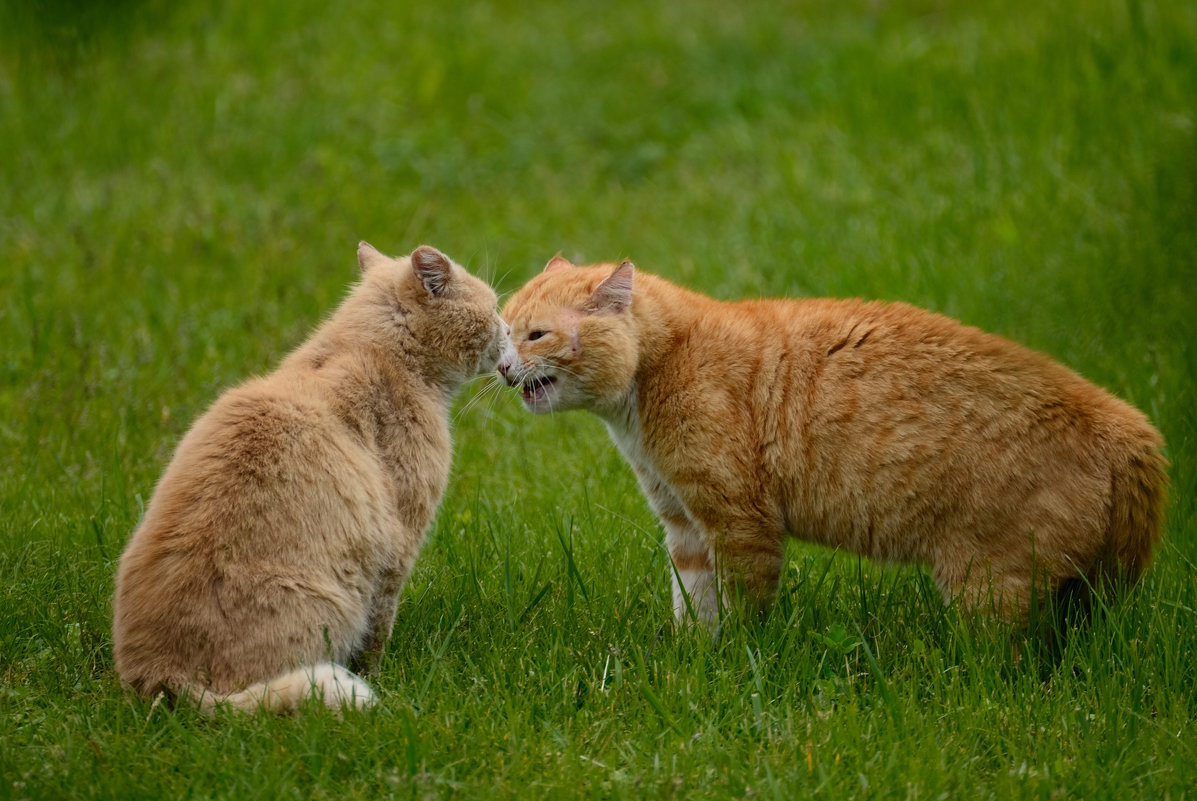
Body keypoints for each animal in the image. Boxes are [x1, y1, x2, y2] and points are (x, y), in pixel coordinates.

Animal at [112, 244, 505, 713]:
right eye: (495, 308)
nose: (508, 329)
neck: (373, 352)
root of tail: (157, 676)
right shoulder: (398, 547)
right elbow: (378, 632)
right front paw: (381, 677)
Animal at [497, 256, 1168, 622]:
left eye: (536, 335)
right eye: (503, 330)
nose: (502, 367)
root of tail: (1125, 424)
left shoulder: (742, 523)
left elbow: (743, 614)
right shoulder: (684, 527)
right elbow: (694, 607)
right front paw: (693, 666)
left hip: (987, 586)